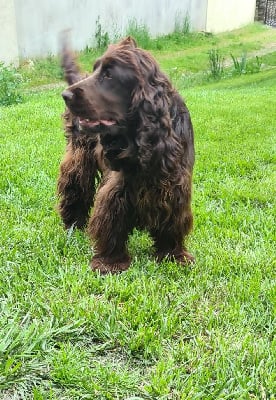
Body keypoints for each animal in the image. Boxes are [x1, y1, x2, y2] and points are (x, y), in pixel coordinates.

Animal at [57, 36, 195, 274]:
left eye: (109, 75)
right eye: (96, 69)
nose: (66, 95)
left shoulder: (174, 182)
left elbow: (172, 219)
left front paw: (173, 255)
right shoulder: (119, 185)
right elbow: (112, 217)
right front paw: (110, 261)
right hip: (79, 155)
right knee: (75, 184)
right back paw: (73, 223)